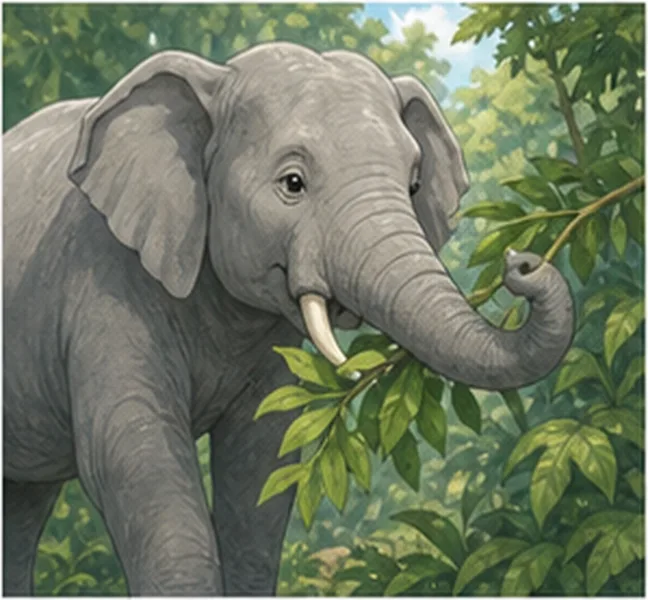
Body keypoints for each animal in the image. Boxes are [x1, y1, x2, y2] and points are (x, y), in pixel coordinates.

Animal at [3, 41, 574, 595]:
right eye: (293, 183)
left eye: (414, 186)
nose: (522, 262)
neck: (214, 78)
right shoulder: (102, 281)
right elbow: (132, 452)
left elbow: (263, 458)